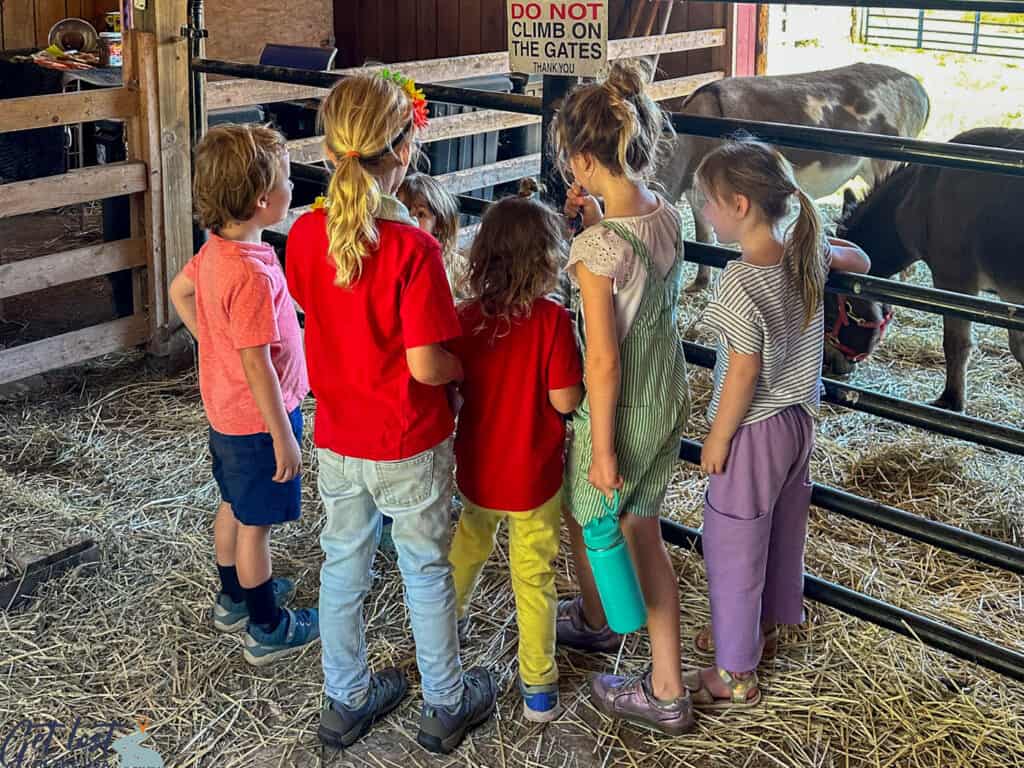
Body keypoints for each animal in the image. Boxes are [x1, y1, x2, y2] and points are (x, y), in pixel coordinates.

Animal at [655, 62, 929, 290]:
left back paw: (904, 275)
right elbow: (704, 235)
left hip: (886, 163)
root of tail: (917, 85)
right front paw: (699, 284)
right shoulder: (696, 195)